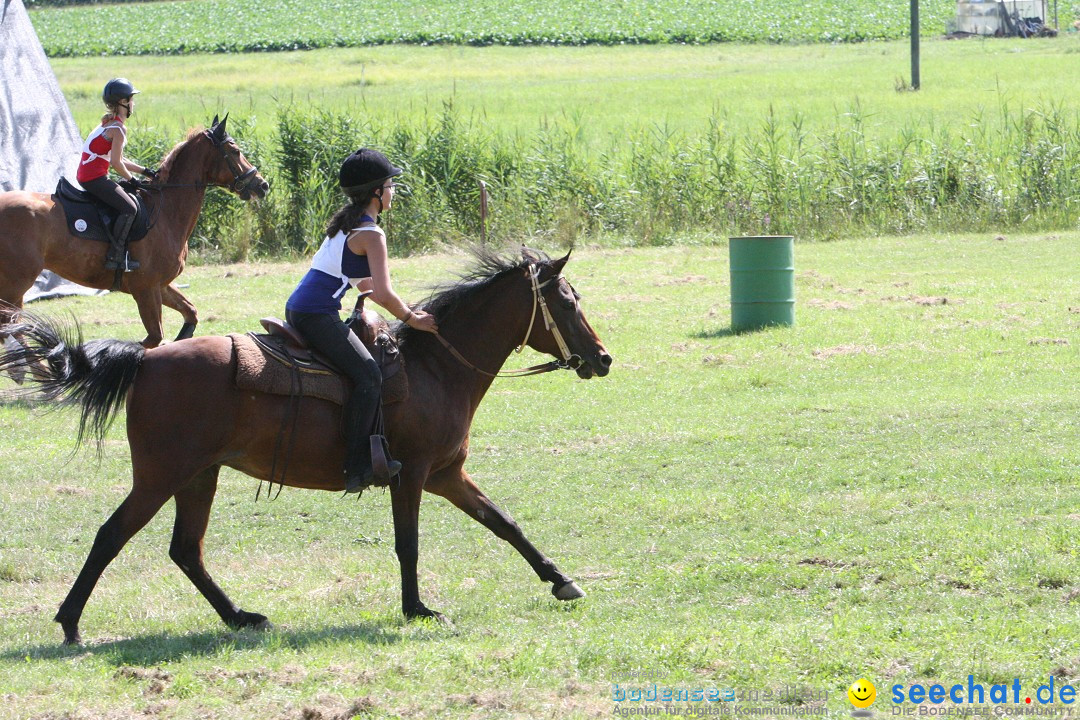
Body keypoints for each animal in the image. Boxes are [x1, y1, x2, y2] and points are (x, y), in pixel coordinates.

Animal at [0, 117, 267, 349]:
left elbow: (190, 314)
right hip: (16, 285)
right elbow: (153, 337)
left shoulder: (160, 285)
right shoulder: (145, 288)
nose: (262, 185)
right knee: (11, 330)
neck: (166, 211)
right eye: (235, 151)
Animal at [0, 246, 609, 643]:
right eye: (568, 303)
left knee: (185, 550)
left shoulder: (447, 475)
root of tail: (147, 359)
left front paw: (562, 581)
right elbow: (408, 544)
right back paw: (70, 623)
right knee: (112, 535)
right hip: (160, 476)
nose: (602, 358)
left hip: (199, 475)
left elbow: (505, 522)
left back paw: (239, 617)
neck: (435, 368)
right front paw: (416, 609)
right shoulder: (411, 476)